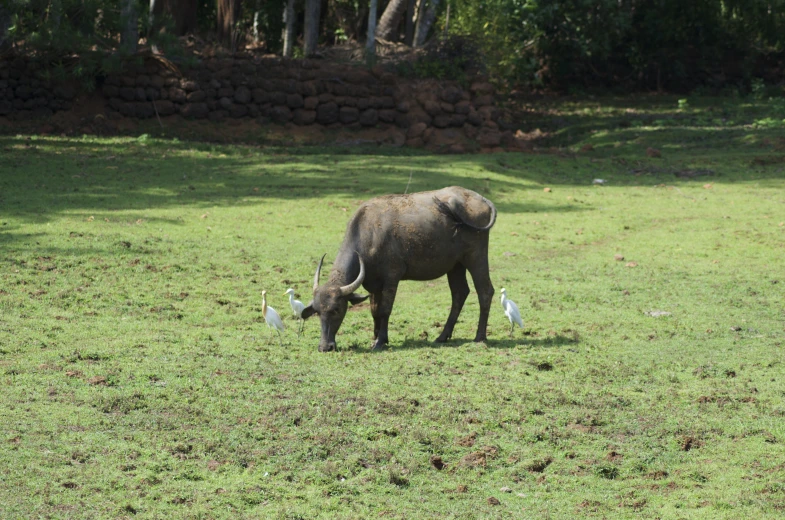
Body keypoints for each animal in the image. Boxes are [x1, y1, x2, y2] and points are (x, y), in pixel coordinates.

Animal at [300, 185, 496, 352]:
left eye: (337, 309)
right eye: (317, 311)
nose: (325, 347)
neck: (370, 235)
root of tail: (482, 199)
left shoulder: (392, 277)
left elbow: (385, 309)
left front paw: (380, 341)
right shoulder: (373, 283)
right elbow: (374, 310)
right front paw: (376, 337)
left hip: (475, 257)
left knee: (485, 291)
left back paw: (479, 337)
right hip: (455, 265)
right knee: (459, 293)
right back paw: (442, 336)